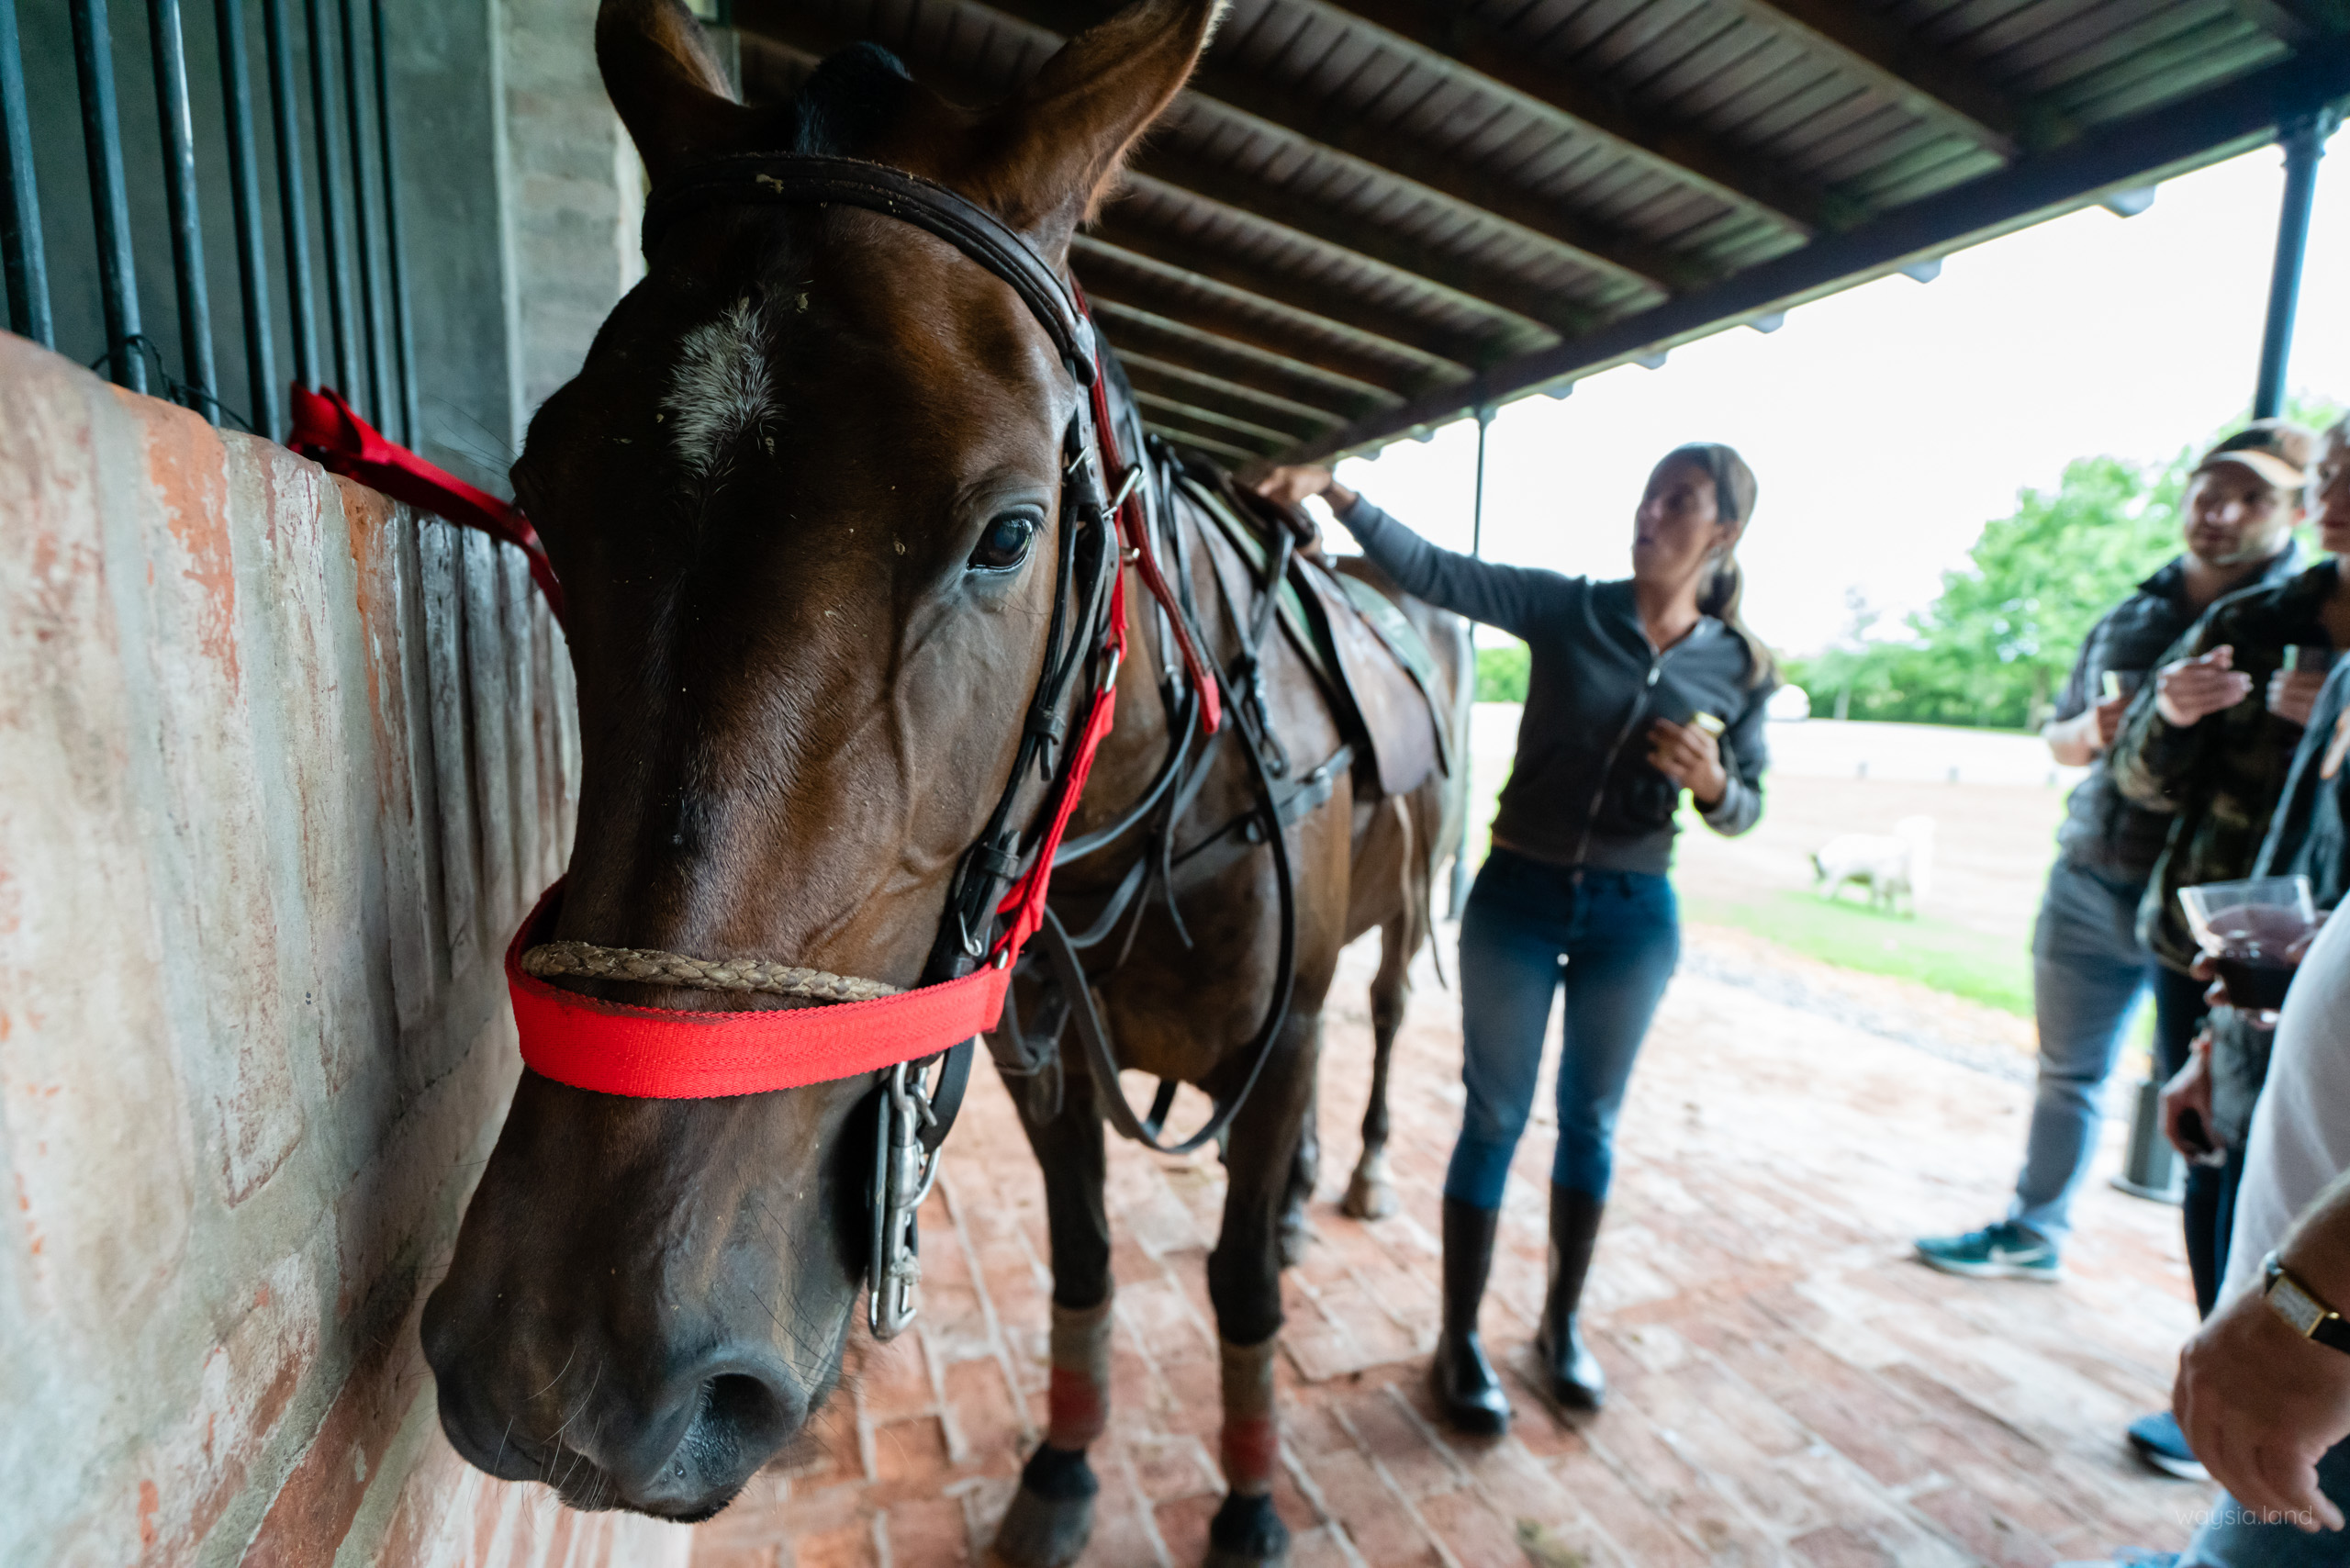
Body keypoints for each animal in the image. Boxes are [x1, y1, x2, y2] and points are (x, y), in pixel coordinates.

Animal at [418, 6, 1447, 1561]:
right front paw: (1062, 1471)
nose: (565, 1368)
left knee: (1374, 1023)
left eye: (1010, 532)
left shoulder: (1266, 1058)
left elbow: (1240, 1291)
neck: (1151, 827)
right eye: (543, 495)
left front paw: (1250, 1498)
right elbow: (1081, 1259)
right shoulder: (1042, 1063)